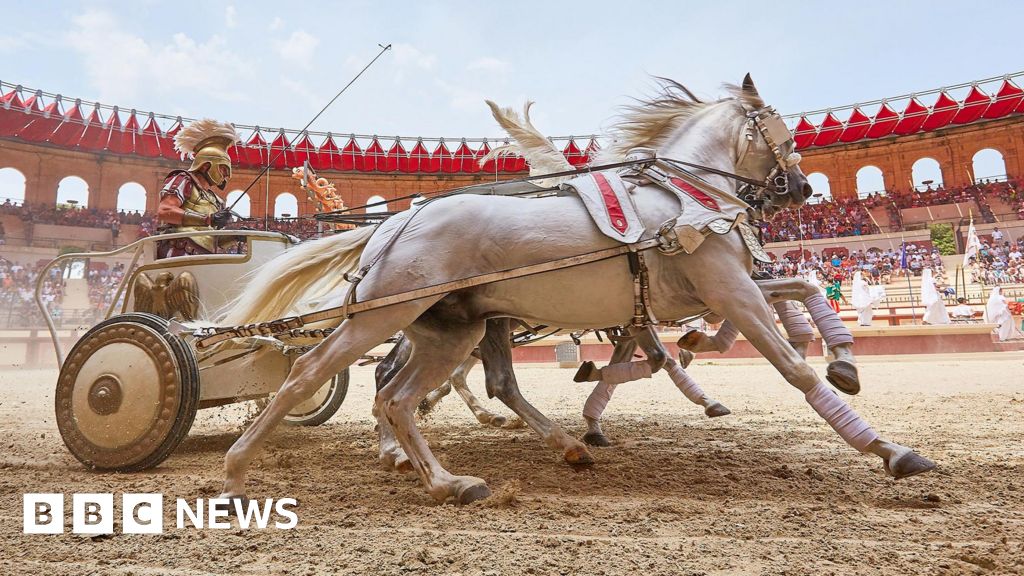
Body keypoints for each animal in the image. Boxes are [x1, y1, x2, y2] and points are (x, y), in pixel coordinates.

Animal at [218, 76, 937, 502]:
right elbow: (792, 365)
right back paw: (237, 466)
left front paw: (844, 361)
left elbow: (802, 290)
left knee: (400, 395)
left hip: (453, 329)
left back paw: (452, 479)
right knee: (312, 373)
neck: (683, 196)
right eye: (783, 130)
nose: (802, 188)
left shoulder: (701, 297)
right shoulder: (728, 289)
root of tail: (396, 222)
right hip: (383, 319)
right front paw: (889, 449)